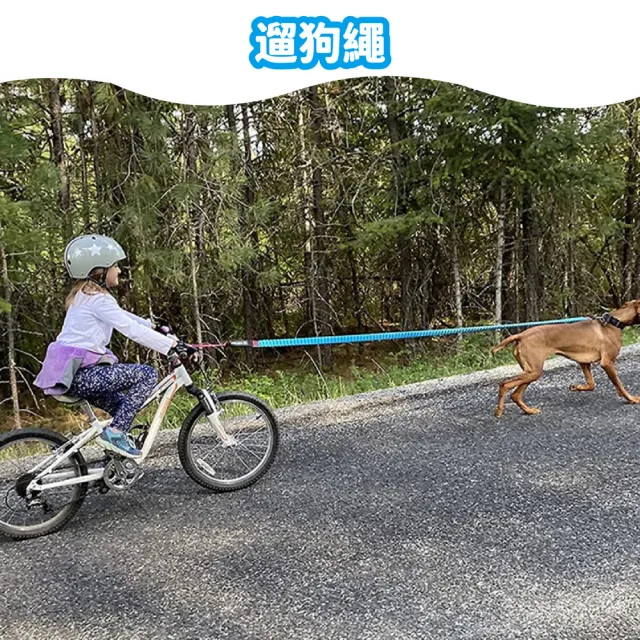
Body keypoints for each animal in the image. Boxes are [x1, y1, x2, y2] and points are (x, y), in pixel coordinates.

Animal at [490, 302, 640, 418]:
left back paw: (529, 411)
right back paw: (499, 411)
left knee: (515, 395)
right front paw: (632, 399)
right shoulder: (607, 362)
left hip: (530, 372)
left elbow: (592, 384)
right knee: (504, 385)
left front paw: (576, 387)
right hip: (533, 371)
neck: (613, 323)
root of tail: (521, 335)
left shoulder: (584, 362)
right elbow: (619, 384)